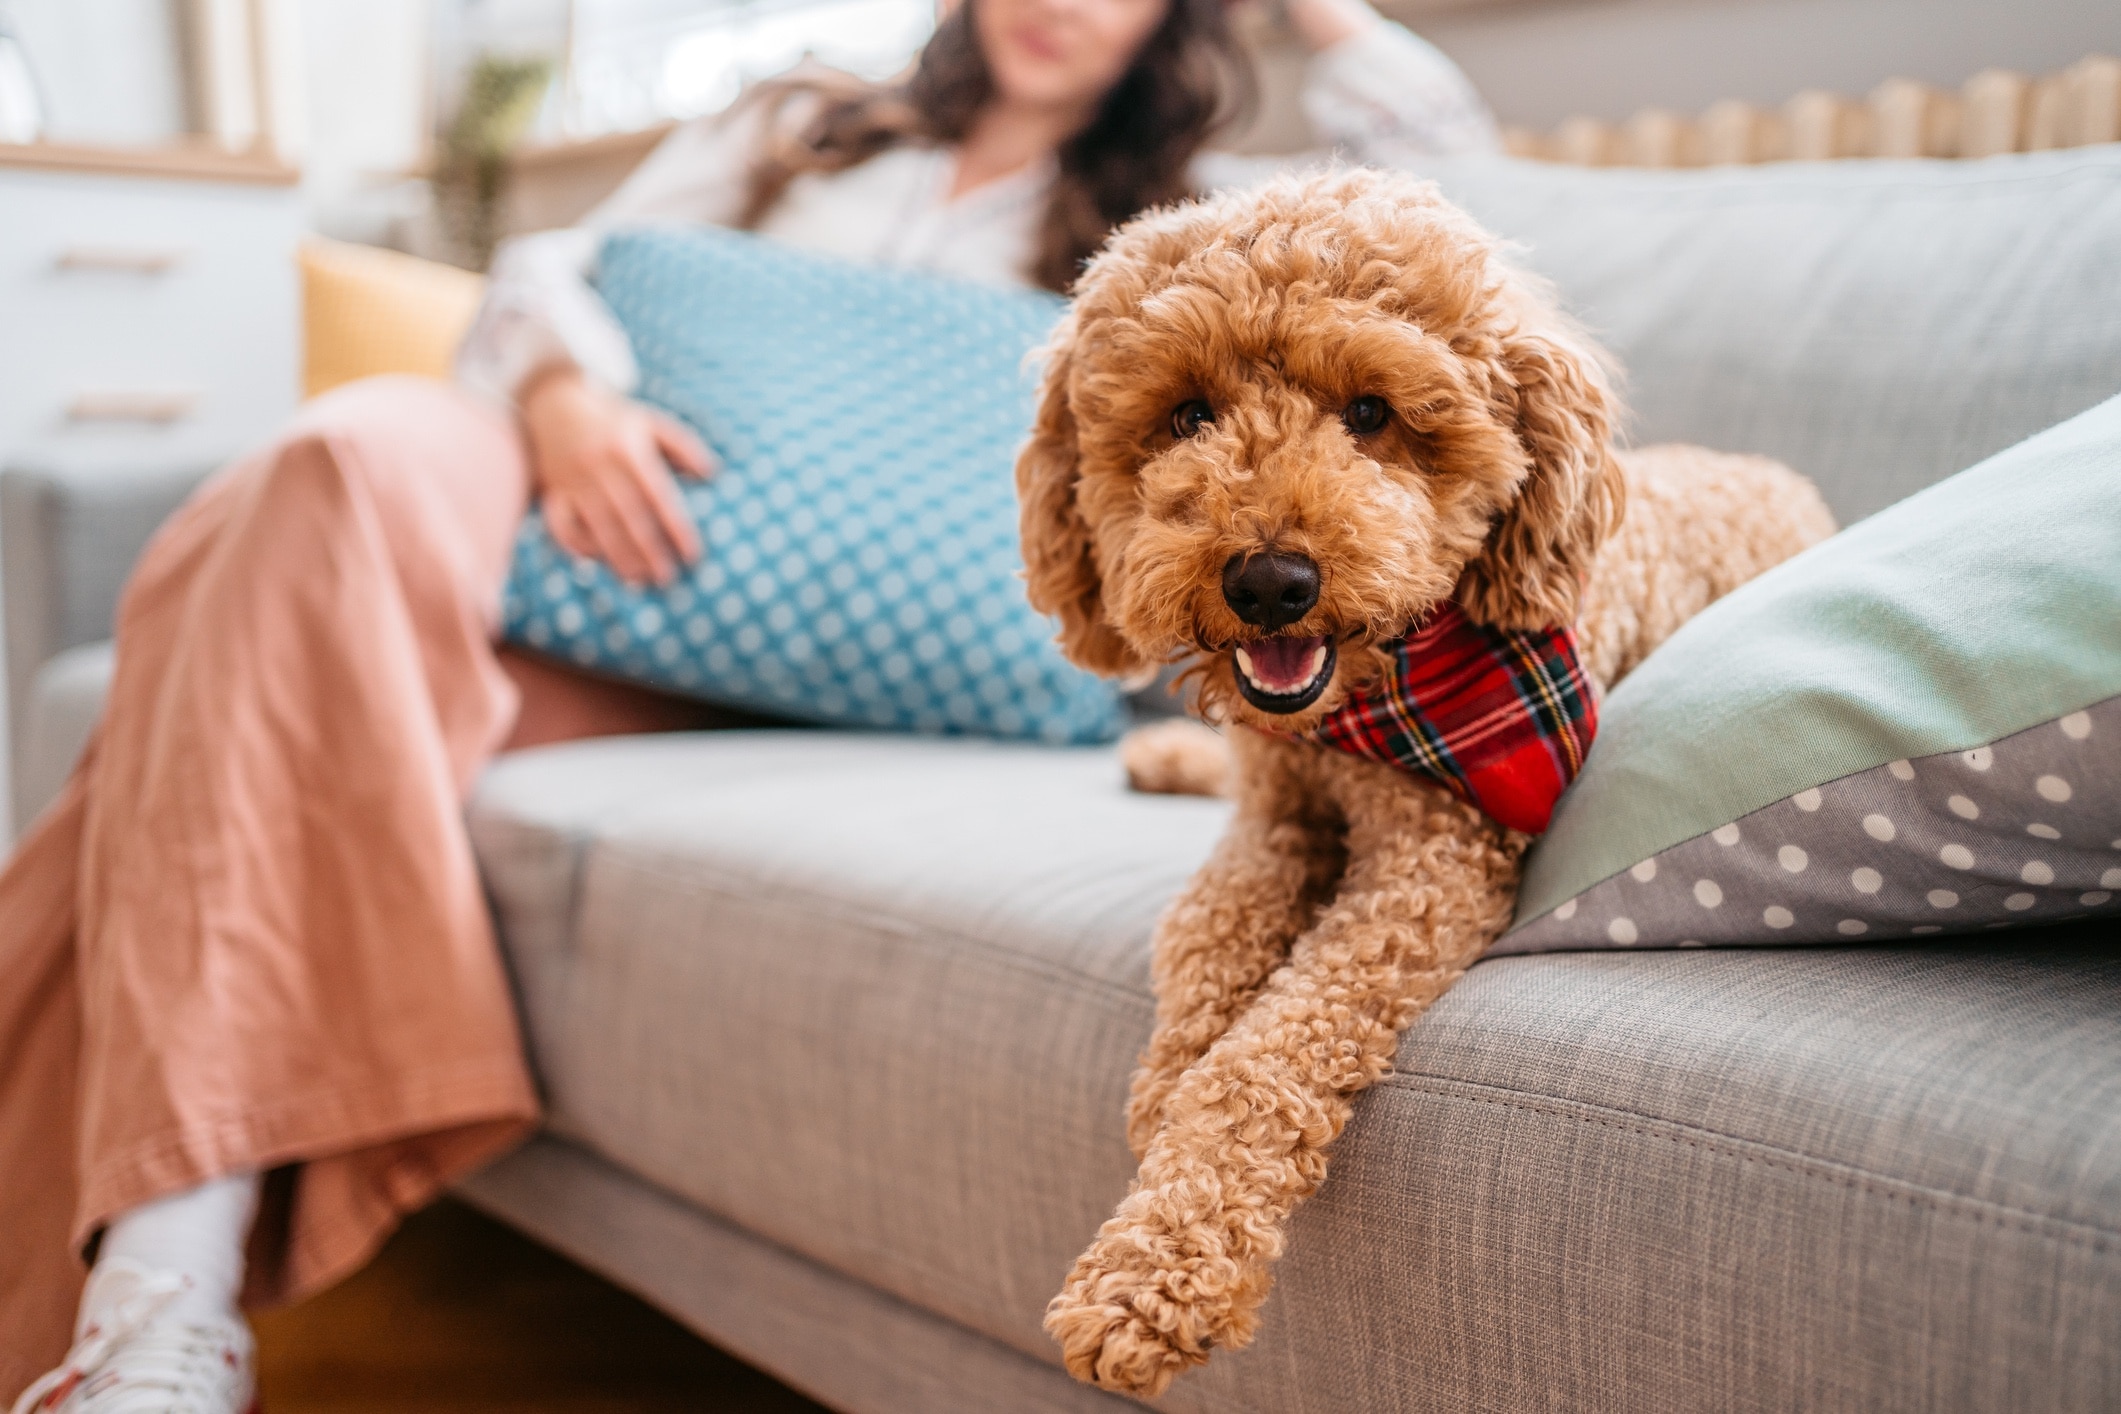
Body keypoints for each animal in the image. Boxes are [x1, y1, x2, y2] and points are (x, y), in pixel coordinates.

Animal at [1013, 168, 1841, 1390]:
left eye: (1371, 413)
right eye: (1186, 415)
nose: (1269, 581)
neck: (1354, 724)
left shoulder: (1431, 867)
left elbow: (1264, 1051)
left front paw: (1152, 1264)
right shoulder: (1271, 822)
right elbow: (1204, 936)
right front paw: (1162, 1093)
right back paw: (1164, 754)